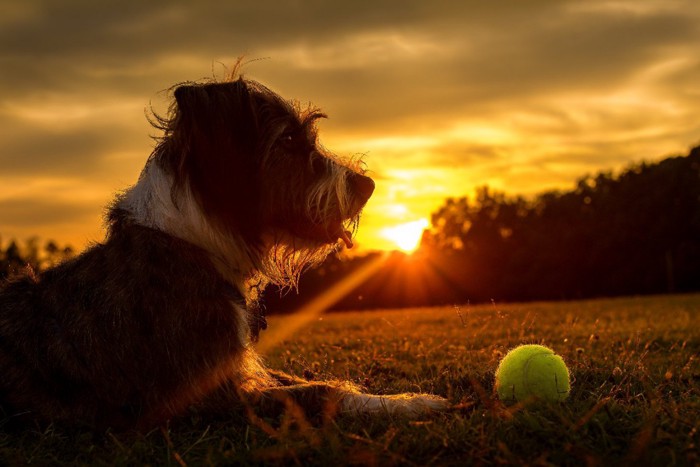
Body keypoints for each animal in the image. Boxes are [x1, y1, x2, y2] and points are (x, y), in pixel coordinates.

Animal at [0, 69, 448, 432]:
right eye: (288, 138)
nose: (367, 185)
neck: (193, 242)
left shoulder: (239, 368)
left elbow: (298, 380)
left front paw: (397, 398)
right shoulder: (207, 397)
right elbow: (320, 392)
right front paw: (411, 403)